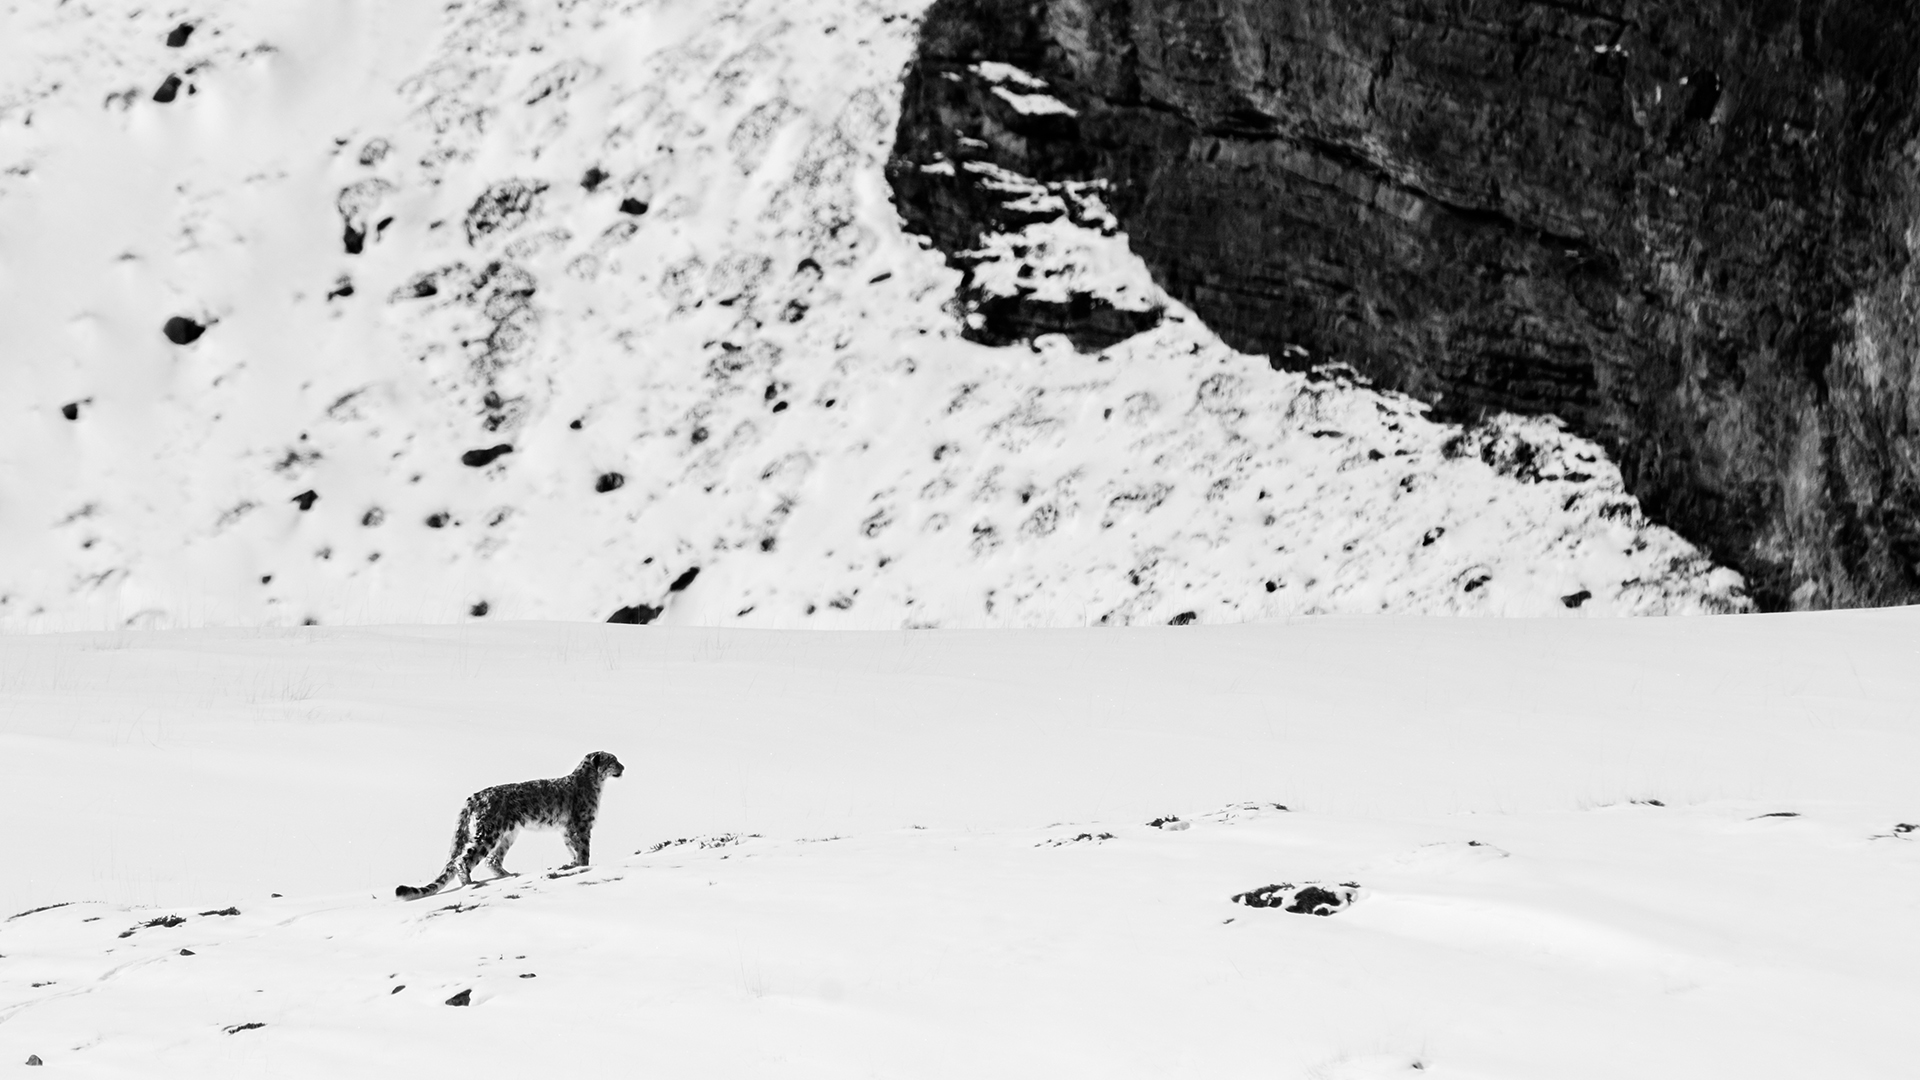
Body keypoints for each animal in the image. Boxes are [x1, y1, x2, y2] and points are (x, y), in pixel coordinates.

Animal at [396, 751, 624, 900]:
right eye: (612, 760)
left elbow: (573, 848)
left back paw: (509, 875)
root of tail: (474, 796)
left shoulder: (567, 828)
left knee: (491, 859)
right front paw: (584, 866)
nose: (623, 767)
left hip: (508, 834)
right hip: (489, 833)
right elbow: (584, 848)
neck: (596, 785)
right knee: (464, 858)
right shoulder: (582, 824)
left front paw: (574, 864)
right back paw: (470, 883)